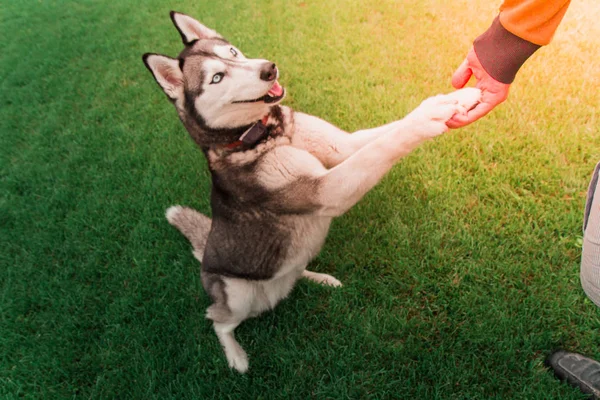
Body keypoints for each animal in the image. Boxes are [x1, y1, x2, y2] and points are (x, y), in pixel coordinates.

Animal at [143, 13, 480, 376]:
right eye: (217, 77)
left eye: (232, 52)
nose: (269, 69)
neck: (268, 133)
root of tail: (204, 253)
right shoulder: (327, 190)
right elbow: (382, 146)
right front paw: (432, 118)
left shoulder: (343, 146)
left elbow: (386, 132)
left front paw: (453, 99)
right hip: (239, 296)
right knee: (217, 321)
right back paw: (235, 355)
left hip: (287, 264)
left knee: (293, 270)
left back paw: (318, 277)